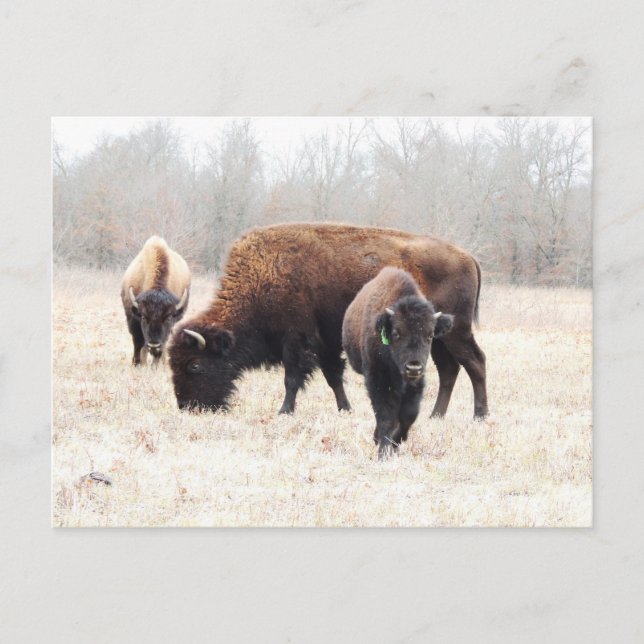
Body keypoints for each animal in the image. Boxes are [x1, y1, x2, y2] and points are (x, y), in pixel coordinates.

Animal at [121, 236, 190, 366]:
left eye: (168, 318)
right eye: (143, 317)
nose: (154, 345)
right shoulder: (133, 320)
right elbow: (138, 343)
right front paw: (136, 363)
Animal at [169, 222, 487, 417]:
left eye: (194, 364)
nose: (188, 406)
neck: (264, 275)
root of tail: (469, 257)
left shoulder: (296, 339)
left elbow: (292, 378)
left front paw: (284, 411)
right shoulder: (325, 342)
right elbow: (333, 376)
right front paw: (345, 408)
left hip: (457, 332)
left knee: (474, 362)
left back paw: (479, 415)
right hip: (436, 337)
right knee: (449, 369)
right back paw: (436, 415)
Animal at [342, 267, 453, 458]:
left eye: (430, 335)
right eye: (396, 333)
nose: (413, 367)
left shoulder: (416, 383)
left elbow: (409, 414)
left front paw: (396, 442)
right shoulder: (378, 380)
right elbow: (386, 415)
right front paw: (383, 451)